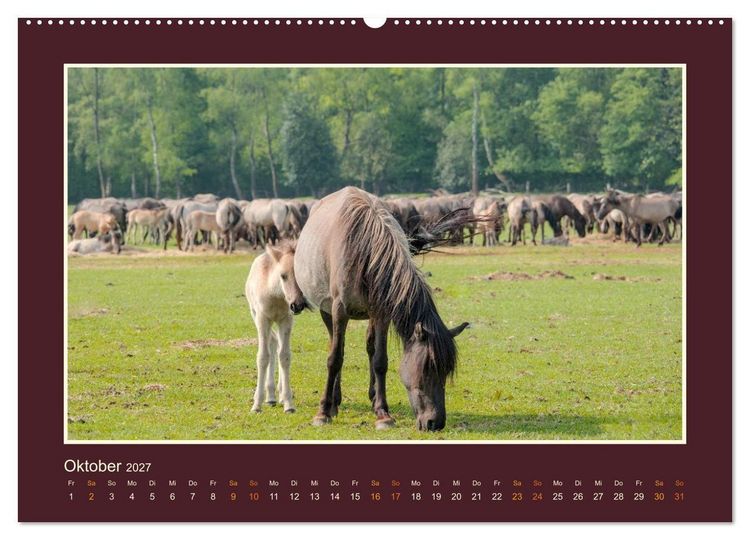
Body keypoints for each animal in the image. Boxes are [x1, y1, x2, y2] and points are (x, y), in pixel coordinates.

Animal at [245, 242, 308, 413]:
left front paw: (288, 403)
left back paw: (276, 395)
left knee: (277, 344)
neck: (276, 295)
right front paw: (256, 405)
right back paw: (270, 396)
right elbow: (263, 357)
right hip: (255, 315)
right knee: (272, 343)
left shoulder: (286, 320)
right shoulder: (262, 319)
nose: (297, 305)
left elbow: (285, 356)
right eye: (283, 275)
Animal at [294, 187, 469, 431]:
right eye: (427, 367)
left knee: (369, 347)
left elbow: (380, 360)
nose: (435, 422)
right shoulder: (339, 310)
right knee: (335, 346)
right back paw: (334, 402)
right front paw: (323, 412)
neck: (365, 251)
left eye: (446, 371)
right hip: (327, 310)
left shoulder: (382, 313)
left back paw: (372, 396)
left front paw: (383, 413)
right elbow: (335, 358)